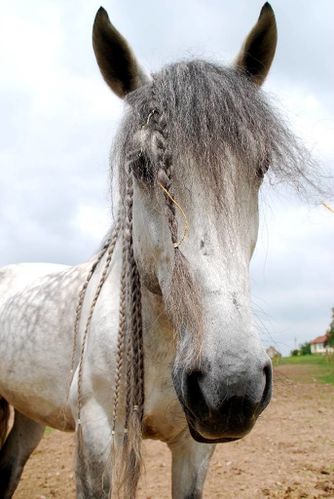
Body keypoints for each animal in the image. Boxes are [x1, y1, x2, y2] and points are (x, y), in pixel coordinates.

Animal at [0, 4, 314, 499]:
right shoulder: (96, 435)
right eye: (141, 164)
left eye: (260, 166)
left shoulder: (194, 447)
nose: (233, 384)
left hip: (32, 414)